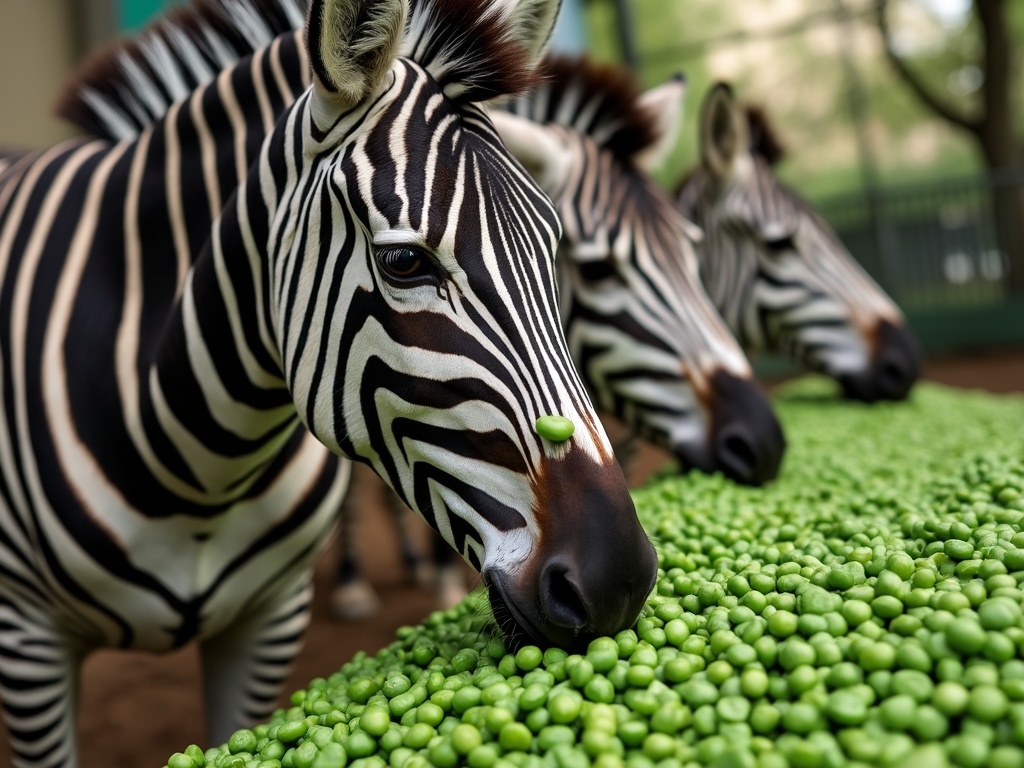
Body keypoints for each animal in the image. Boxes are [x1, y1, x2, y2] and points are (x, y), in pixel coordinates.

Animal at [0, 0, 655, 765]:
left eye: (555, 252)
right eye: (404, 262)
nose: (618, 580)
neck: (196, 464)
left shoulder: (269, 618)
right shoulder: (28, 642)